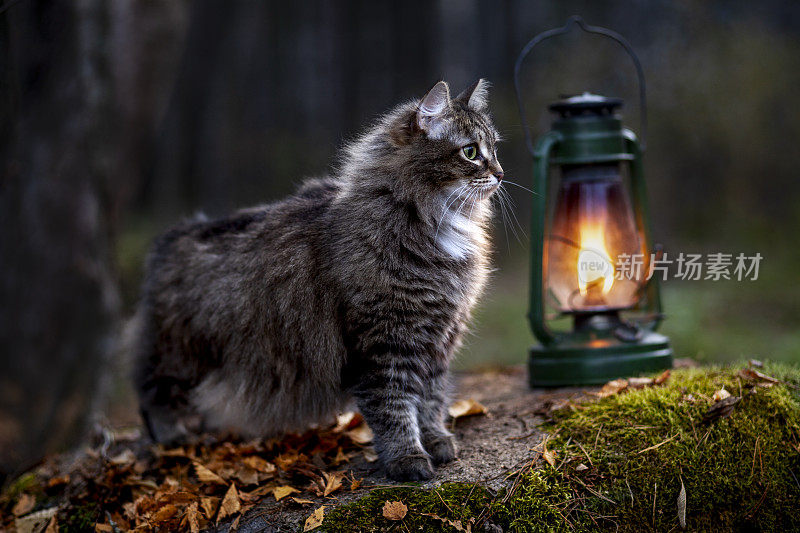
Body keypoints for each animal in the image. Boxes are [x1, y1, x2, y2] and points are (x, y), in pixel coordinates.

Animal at [134, 80, 504, 482]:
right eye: (470, 152)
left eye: (495, 149)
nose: (501, 173)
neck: (437, 225)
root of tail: (172, 236)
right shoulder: (383, 343)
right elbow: (395, 407)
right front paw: (407, 459)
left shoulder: (438, 338)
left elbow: (431, 401)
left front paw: (436, 442)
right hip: (181, 354)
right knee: (151, 395)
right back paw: (174, 439)